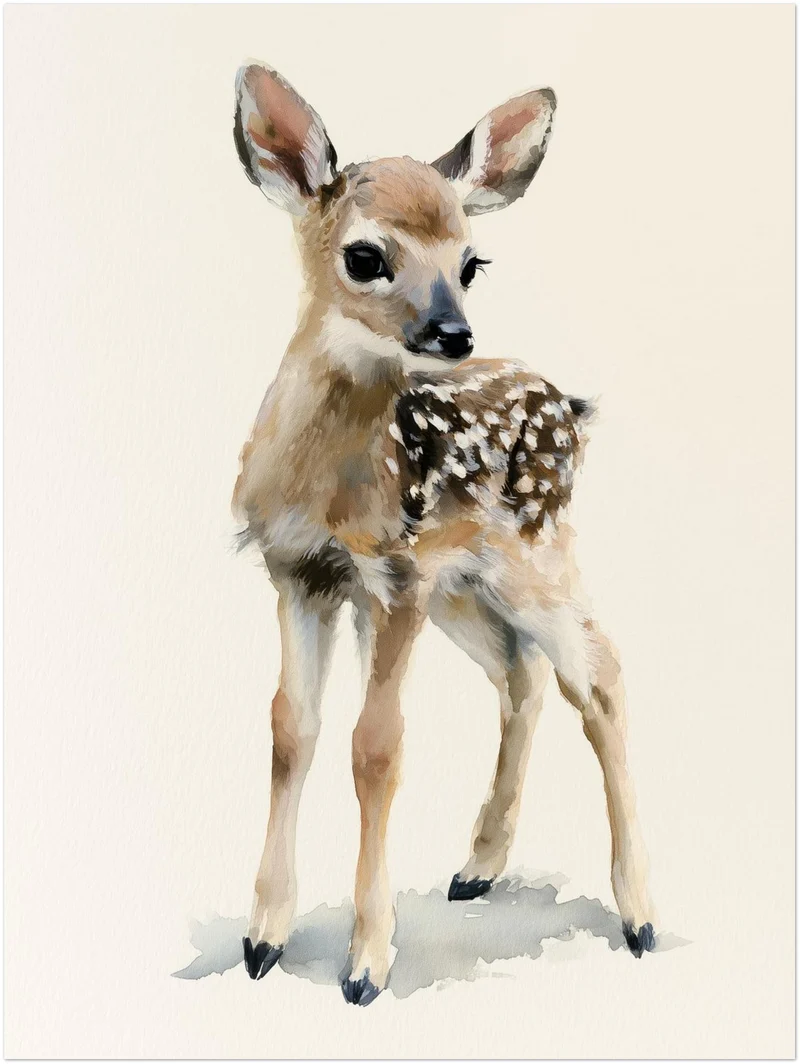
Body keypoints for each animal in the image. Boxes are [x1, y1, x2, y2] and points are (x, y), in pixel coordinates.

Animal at [231, 61, 656, 1006]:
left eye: (471, 261)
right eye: (365, 255)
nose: (452, 333)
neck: (328, 486)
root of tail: (570, 407)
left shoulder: (392, 579)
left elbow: (376, 747)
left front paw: (366, 964)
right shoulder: (299, 574)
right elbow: (290, 731)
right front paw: (262, 939)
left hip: (532, 556)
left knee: (600, 674)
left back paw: (641, 915)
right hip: (464, 588)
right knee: (521, 675)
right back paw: (478, 865)